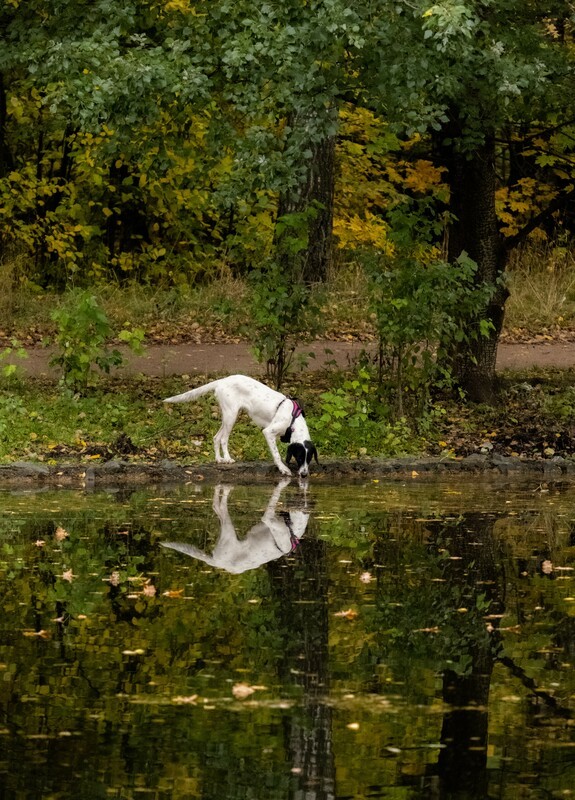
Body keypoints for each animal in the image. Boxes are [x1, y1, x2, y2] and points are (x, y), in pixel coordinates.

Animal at [162, 482, 308, 576]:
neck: (292, 532)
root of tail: (217, 563)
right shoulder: (268, 519)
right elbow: (273, 499)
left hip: (227, 533)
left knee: (217, 507)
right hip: (229, 533)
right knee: (219, 506)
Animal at [163, 374, 320, 478]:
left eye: (309, 459)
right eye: (299, 457)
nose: (304, 475)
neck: (293, 421)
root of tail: (223, 380)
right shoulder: (268, 432)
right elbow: (276, 454)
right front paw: (283, 469)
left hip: (228, 416)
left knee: (216, 437)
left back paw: (219, 459)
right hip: (231, 415)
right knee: (223, 439)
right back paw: (227, 458)